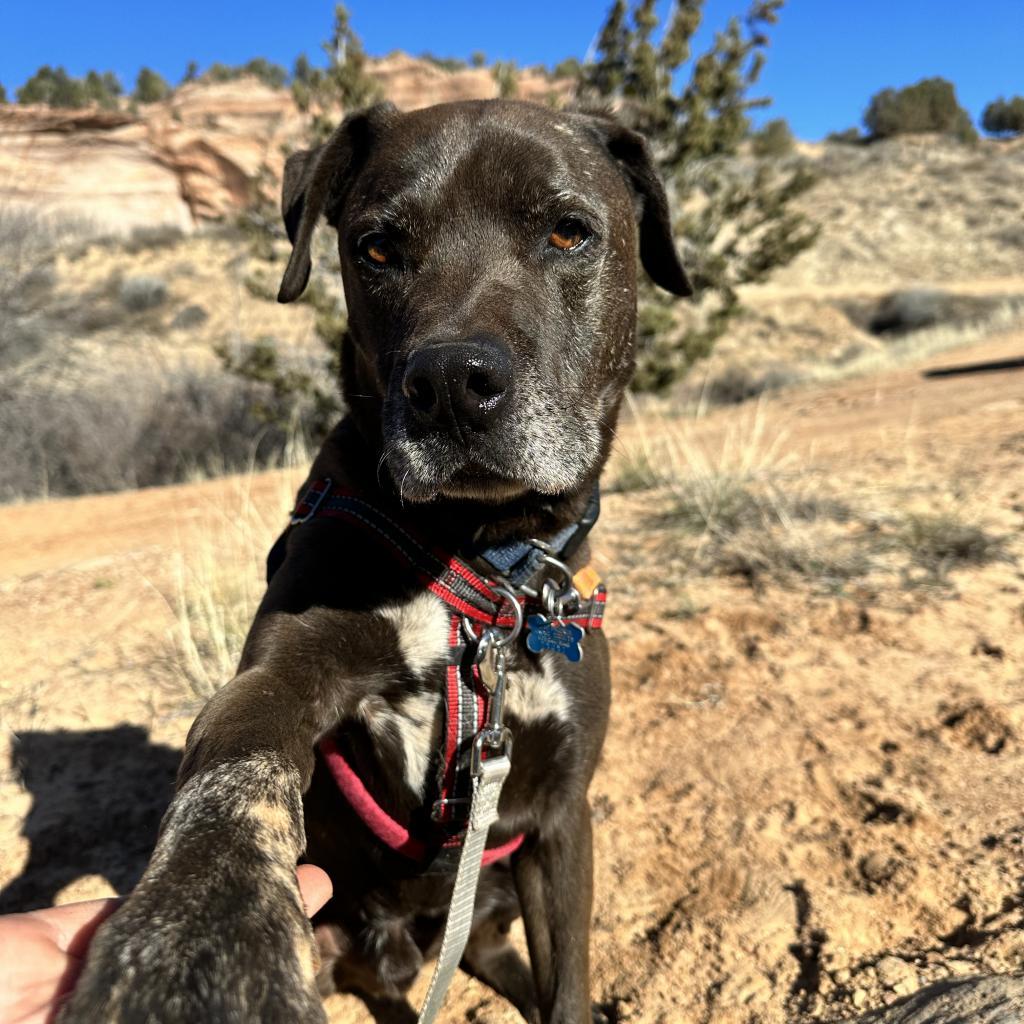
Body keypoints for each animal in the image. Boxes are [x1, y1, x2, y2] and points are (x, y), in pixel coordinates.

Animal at [61, 97, 688, 1024]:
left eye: (569, 231)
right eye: (378, 247)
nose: (451, 386)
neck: (476, 562)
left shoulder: (560, 814)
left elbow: (568, 987)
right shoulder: (280, 677)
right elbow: (234, 781)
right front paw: (195, 943)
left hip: (495, 898)